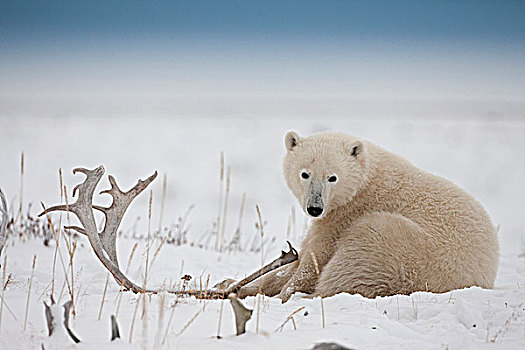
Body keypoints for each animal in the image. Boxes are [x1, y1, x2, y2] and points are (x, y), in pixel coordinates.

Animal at [238, 131, 500, 300]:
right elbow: (299, 256)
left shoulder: (348, 212)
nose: (315, 208)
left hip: (403, 251)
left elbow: (317, 255)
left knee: (353, 262)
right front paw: (241, 285)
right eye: (305, 173)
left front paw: (286, 291)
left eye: (332, 177)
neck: (364, 180)